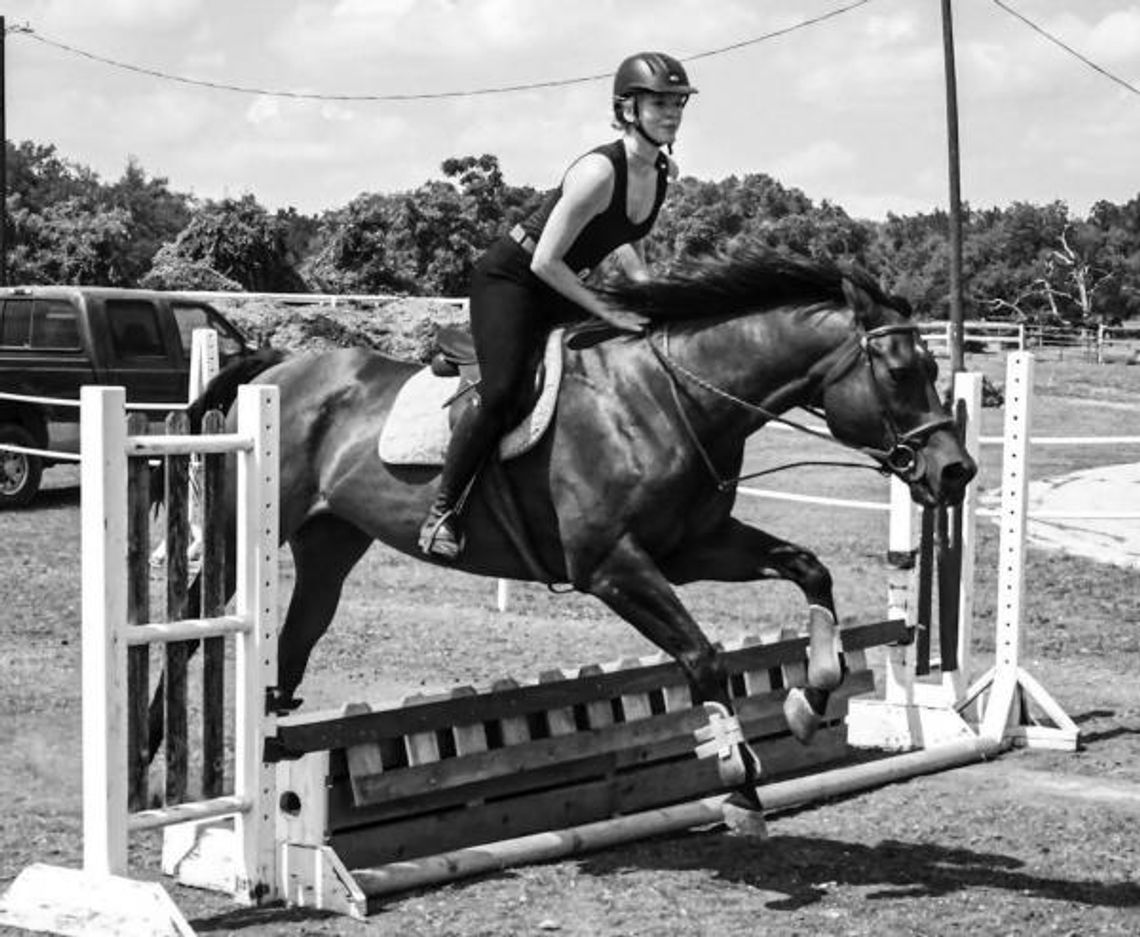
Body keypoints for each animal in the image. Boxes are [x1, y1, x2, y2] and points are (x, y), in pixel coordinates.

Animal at [147, 243, 975, 820]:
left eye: (936, 369)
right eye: (900, 371)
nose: (957, 472)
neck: (672, 398)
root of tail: (280, 363)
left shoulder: (694, 548)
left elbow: (809, 568)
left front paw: (814, 694)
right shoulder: (611, 567)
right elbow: (703, 658)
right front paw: (738, 783)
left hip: (330, 541)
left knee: (297, 635)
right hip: (247, 526)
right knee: (192, 617)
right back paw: (159, 754)